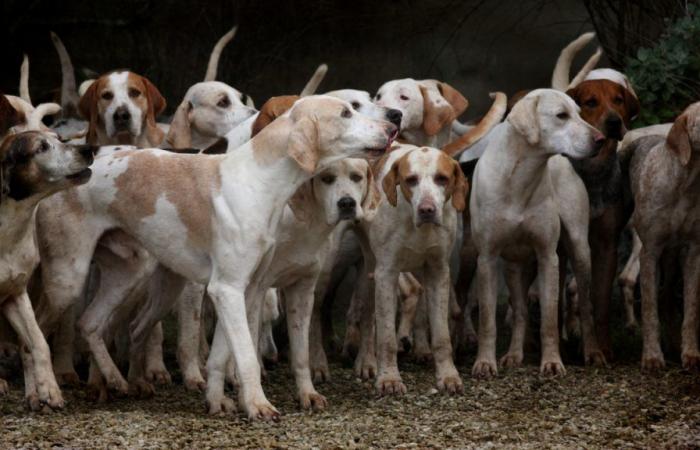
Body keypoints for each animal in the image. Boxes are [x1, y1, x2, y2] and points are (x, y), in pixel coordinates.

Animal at [34, 95, 394, 418]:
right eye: (347, 112)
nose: (392, 126)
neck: (258, 181)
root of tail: (68, 173)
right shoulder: (228, 289)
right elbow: (246, 355)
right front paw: (258, 405)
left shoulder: (244, 290)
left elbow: (222, 355)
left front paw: (218, 402)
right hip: (67, 280)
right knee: (36, 332)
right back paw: (44, 391)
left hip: (130, 275)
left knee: (90, 324)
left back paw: (116, 380)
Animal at [470, 89, 600, 378]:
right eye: (561, 115)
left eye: (580, 113)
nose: (600, 139)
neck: (520, 177)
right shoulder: (487, 259)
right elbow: (487, 320)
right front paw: (484, 362)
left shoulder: (547, 256)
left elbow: (550, 319)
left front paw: (551, 362)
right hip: (514, 267)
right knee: (520, 311)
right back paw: (514, 355)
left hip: (580, 251)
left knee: (587, 305)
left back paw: (593, 352)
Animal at [628, 103, 700, 370]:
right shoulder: (649, 252)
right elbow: (649, 309)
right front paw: (651, 356)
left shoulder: (693, 253)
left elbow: (691, 310)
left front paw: (690, 353)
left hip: (673, 258)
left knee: (668, 296)